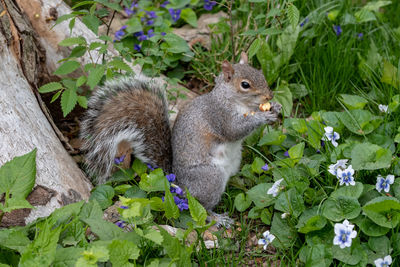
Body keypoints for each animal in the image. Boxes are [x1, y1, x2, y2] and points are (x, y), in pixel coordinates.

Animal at [80, 52, 282, 228]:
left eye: (260, 73)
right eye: (245, 84)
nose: (269, 96)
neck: (234, 101)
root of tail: (177, 184)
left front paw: (276, 106)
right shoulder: (218, 116)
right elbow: (234, 130)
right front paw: (262, 117)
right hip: (210, 179)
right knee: (202, 206)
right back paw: (218, 218)